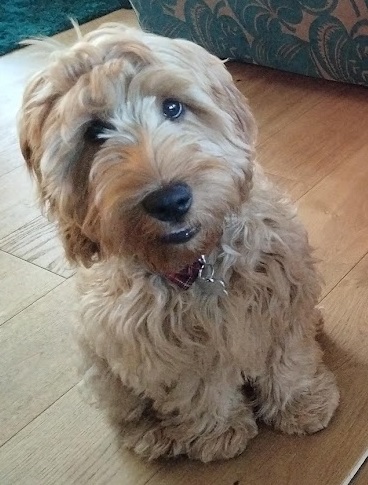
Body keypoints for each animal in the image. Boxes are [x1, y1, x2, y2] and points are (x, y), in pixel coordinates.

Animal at [18, 22, 338, 462]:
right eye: (94, 132)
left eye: (173, 108)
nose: (169, 200)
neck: (197, 263)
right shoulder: (165, 349)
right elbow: (200, 390)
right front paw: (220, 433)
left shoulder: (281, 300)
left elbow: (287, 359)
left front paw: (302, 404)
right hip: (97, 359)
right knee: (125, 410)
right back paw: (152, 434)